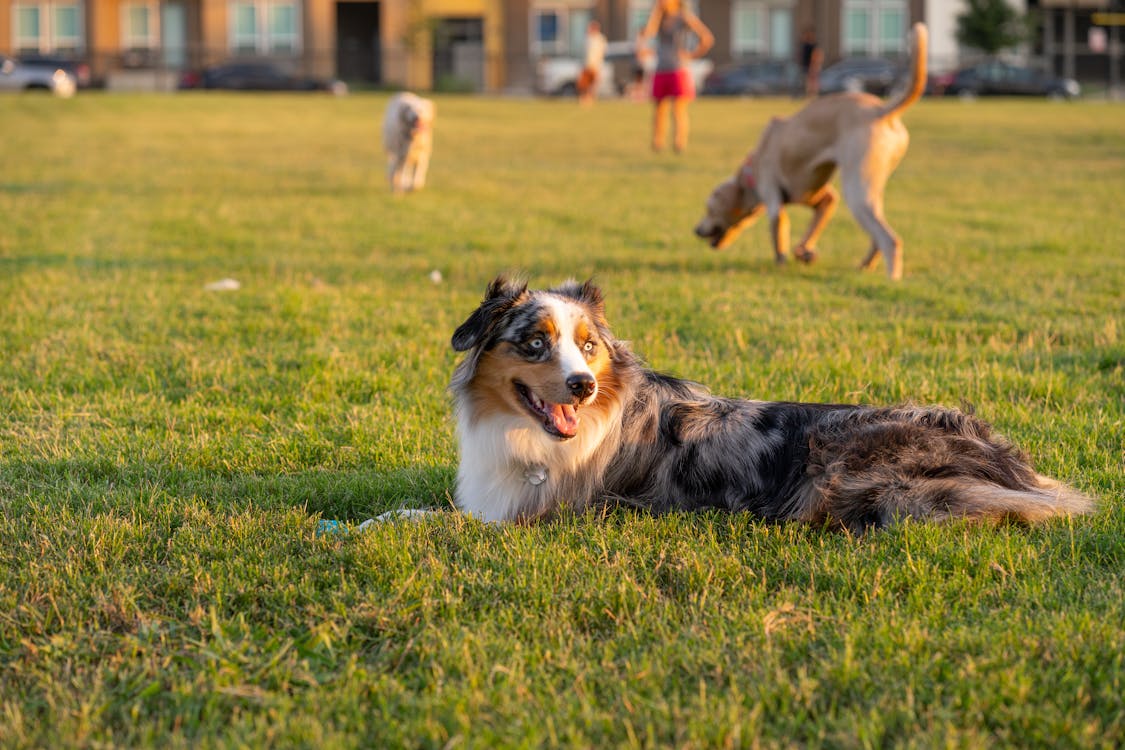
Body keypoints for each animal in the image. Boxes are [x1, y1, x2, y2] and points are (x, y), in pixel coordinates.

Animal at [443, 277, 1093, 532]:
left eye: (587, 347)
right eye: (535, 342)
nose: (583, 386)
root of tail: (1010, 464)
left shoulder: (539, 513)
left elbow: (441, 519)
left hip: (847, 470)